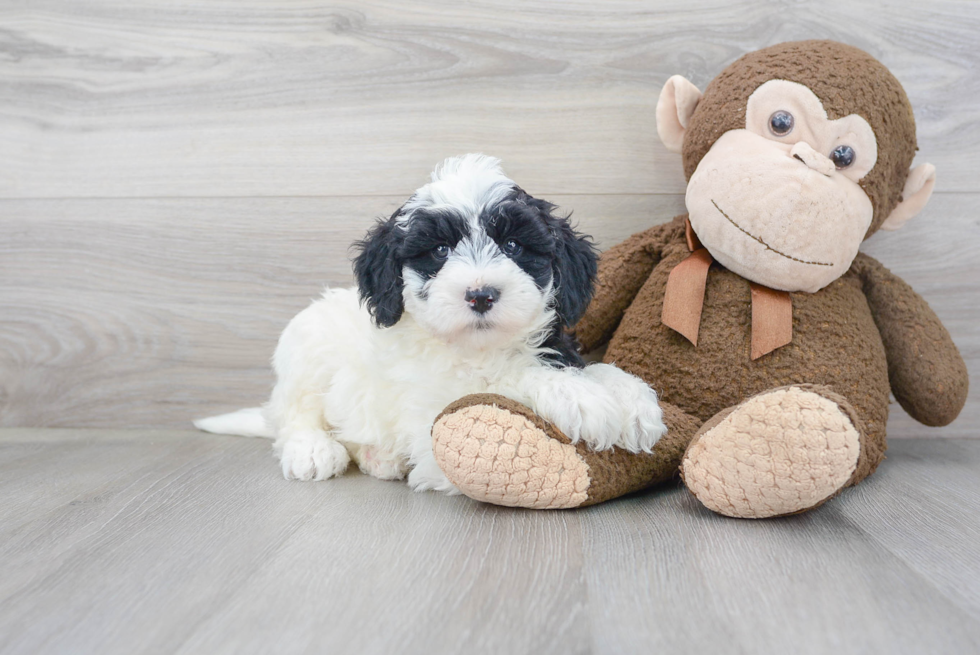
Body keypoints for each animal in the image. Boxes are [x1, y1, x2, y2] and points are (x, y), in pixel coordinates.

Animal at [194, 154, 664, 492]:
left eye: (513, 244)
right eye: (439, 250)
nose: (480, 294)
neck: (479, 348)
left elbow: (590, 367)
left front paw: (633, 400)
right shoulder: (431, 412)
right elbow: (500, 384)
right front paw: (580, 398)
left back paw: (380, 458)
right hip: (305, 349)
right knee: (293, 416)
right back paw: (312, 451)